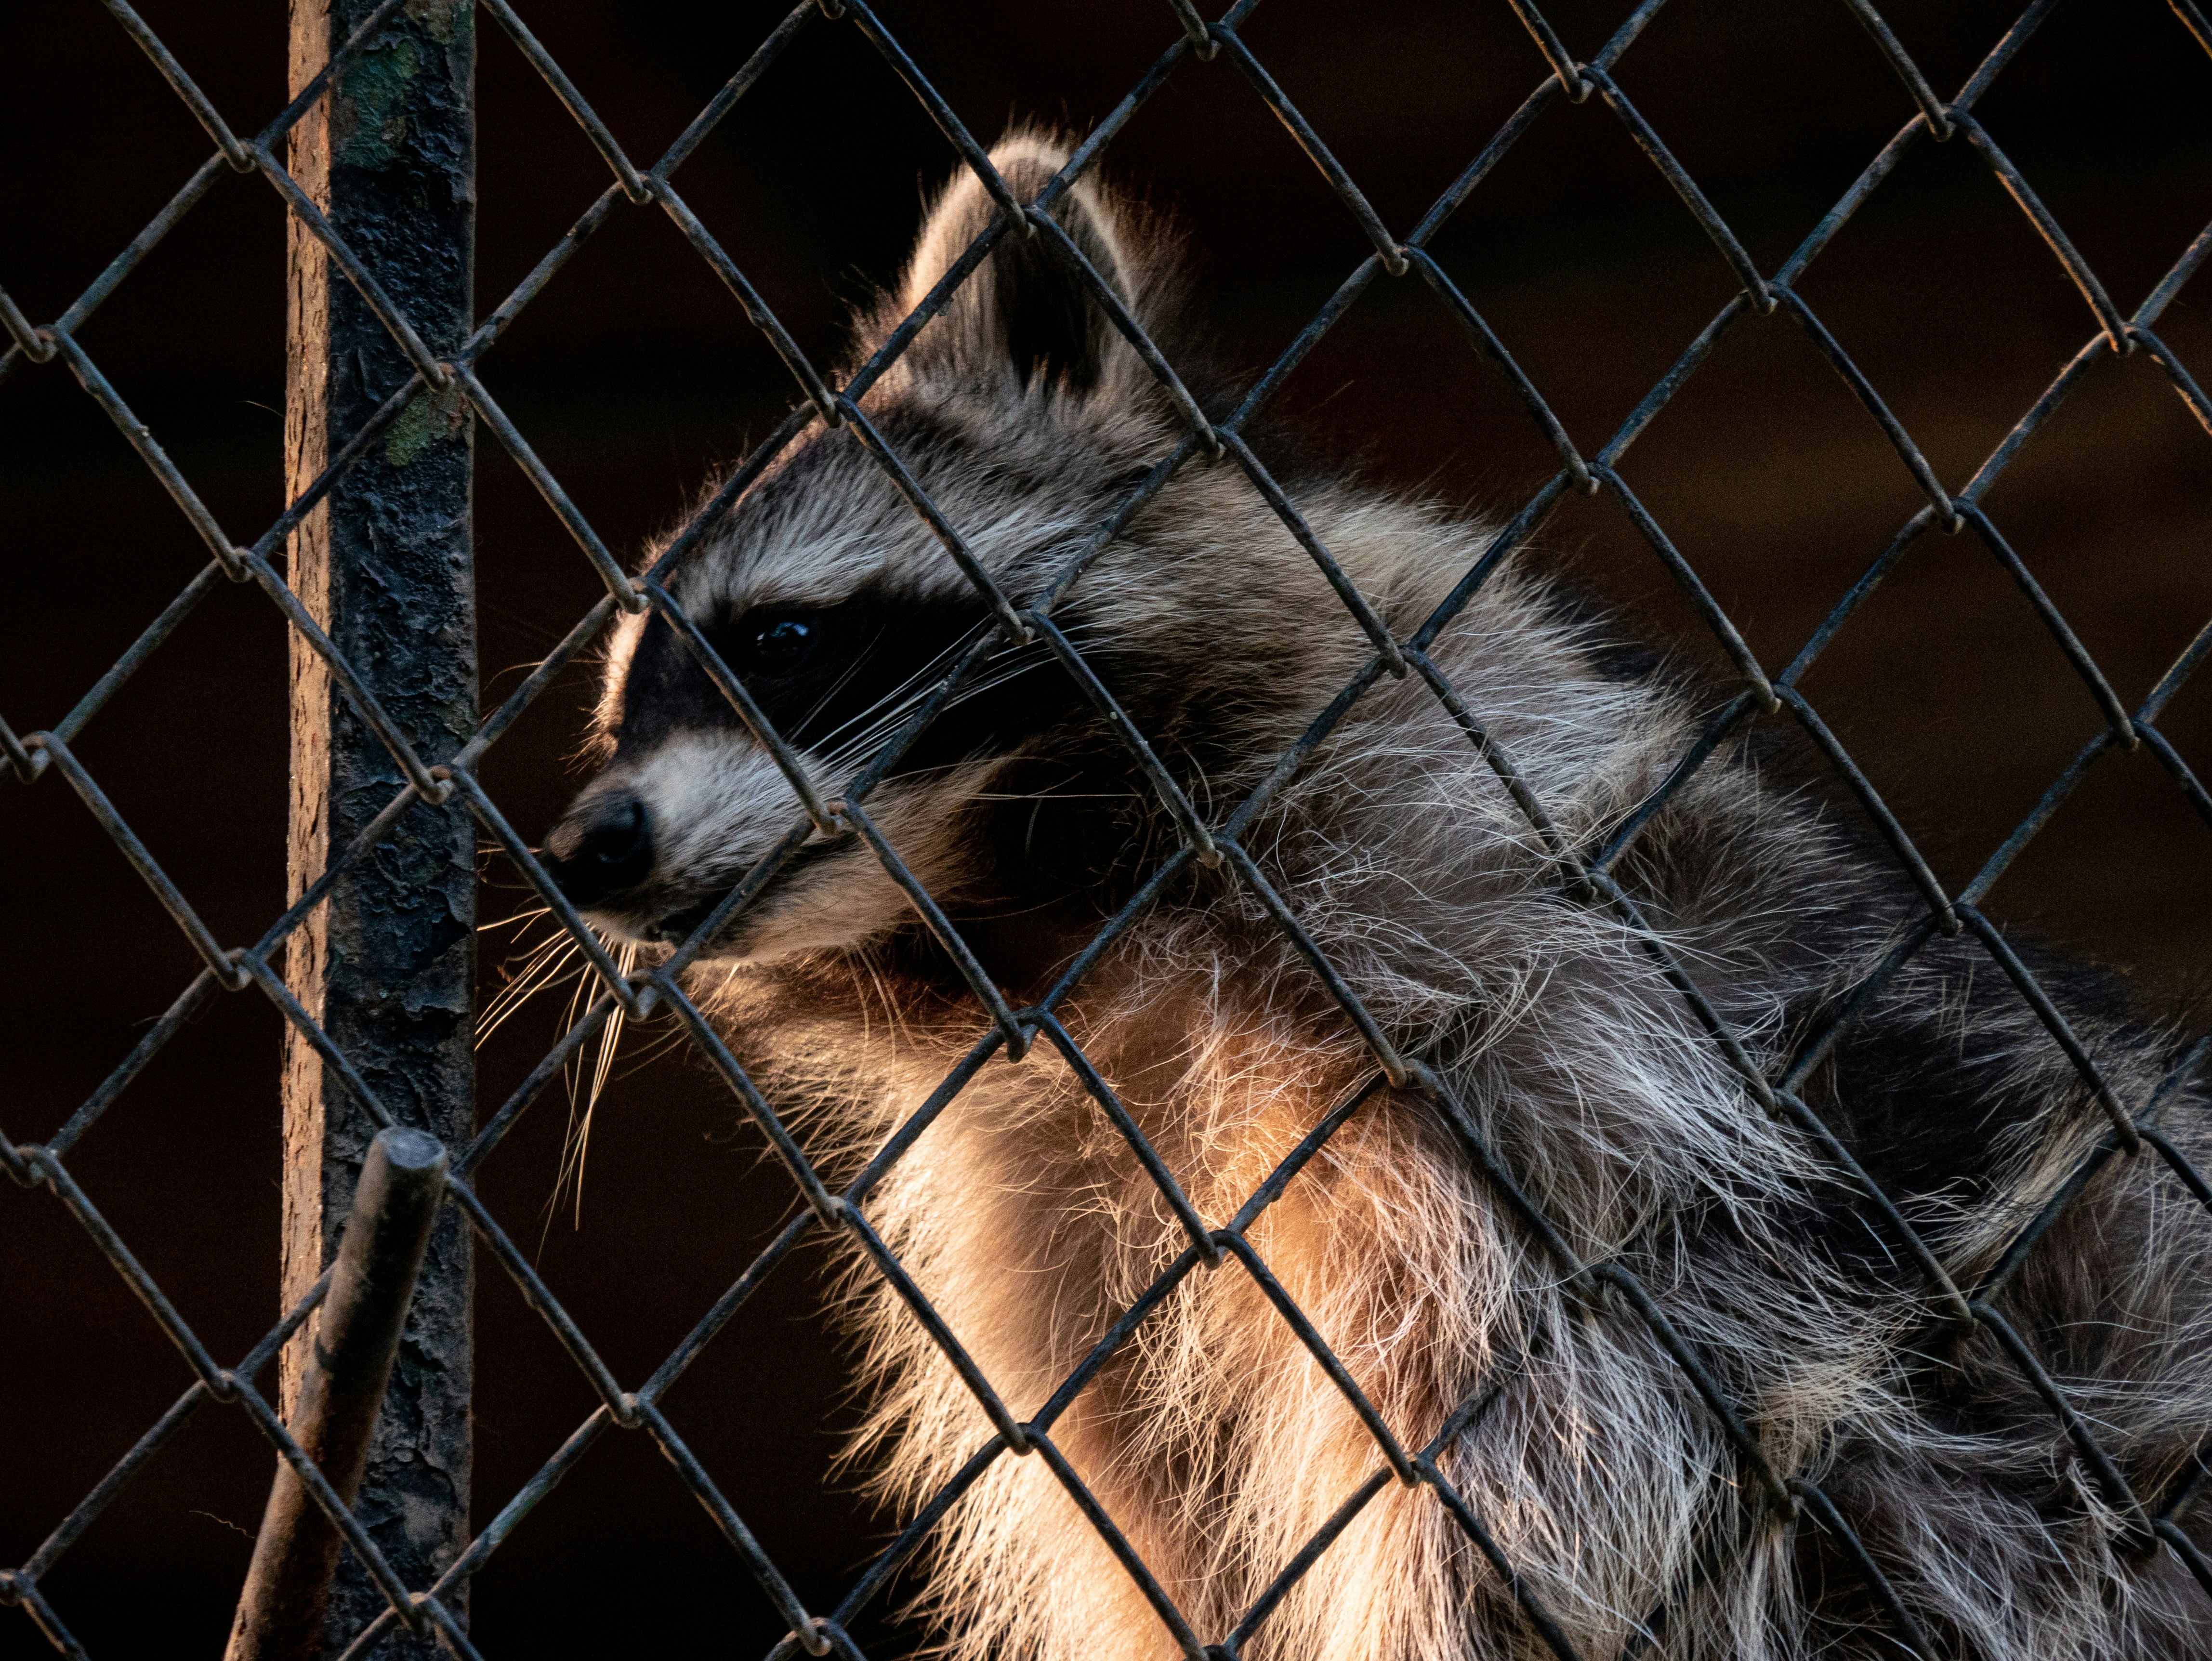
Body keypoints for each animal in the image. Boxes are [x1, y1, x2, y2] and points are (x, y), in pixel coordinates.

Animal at [538, 132, 2212, 1660]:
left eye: (782, 639)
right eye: (616, 709)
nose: (581, 849)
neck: (1064, 935)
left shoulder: (1528, 1018)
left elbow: (1547, 1480)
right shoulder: (1040, 1205)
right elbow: (1169, 1537)